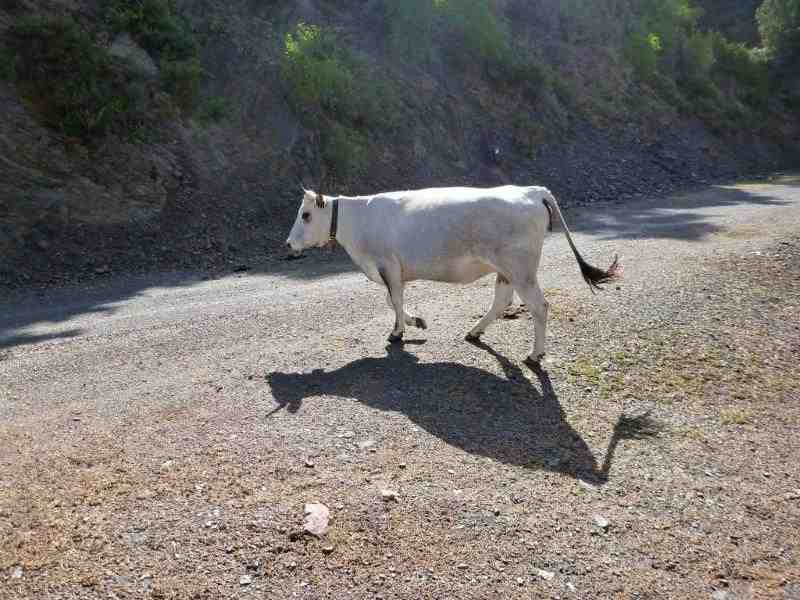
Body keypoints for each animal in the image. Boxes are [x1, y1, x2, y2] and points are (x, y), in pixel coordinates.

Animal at [284, 184, 620, 360]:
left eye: (306, 215)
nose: (288, 243)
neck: (359, 221)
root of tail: (531, 191)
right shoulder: (393, 270)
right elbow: (394, 301)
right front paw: (416, 322)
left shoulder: (388, 265)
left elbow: (394, 300)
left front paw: (398, 332)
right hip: (507, 268)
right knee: (502, 300)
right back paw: (475, 331)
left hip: (521, 269)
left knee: (539, 306)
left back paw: (535, 354)